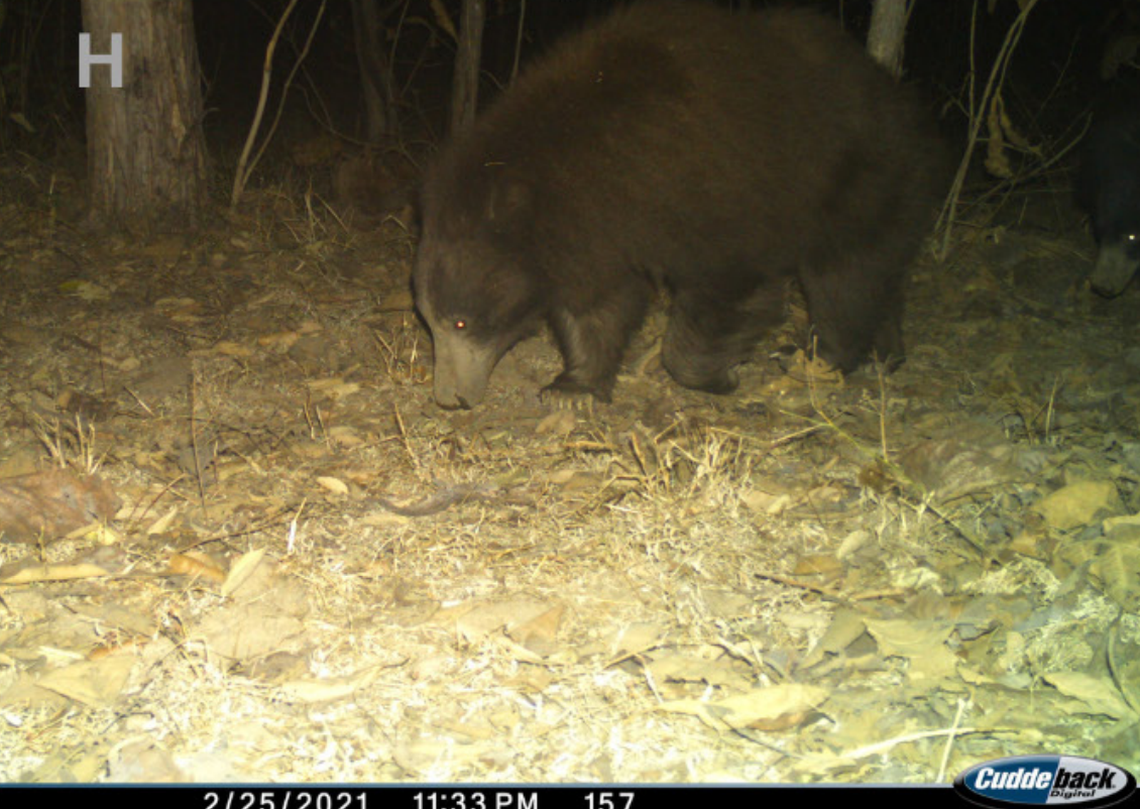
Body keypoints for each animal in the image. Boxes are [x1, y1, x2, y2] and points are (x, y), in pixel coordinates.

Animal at [413, 1, 945, 410]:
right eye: (428, 320)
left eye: (460, 322)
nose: (449, 397)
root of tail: (901, 101)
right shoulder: (599, 236)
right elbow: (597, 310)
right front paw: (572, 388)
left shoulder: (705, 190)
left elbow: (732, 288)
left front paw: (718, 375)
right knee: (877, 276)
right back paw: (886, 353)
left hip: (858, 180)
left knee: (844, 276)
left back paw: (818, 358)